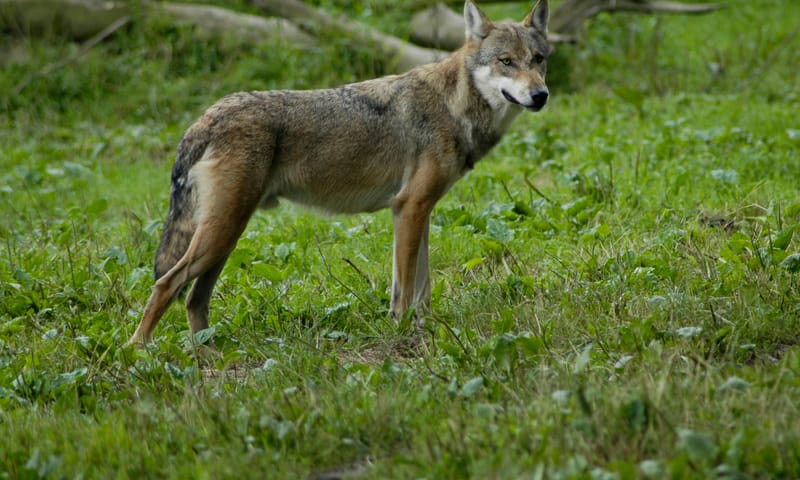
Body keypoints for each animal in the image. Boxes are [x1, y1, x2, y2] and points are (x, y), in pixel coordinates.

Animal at [127, 0, 552, 345]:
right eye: (506, 61)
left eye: (538, 60)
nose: (541, 95)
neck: (454, 105)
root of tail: (205, 117)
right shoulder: (409, 208)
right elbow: (404, 289)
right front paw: (402, 331)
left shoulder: (420, 211)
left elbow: (422, 287)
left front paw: (427, 328)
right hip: (221, 234)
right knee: (166, 285)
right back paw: (140, 352)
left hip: (225, 237)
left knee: (194, 300)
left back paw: (207, 354)